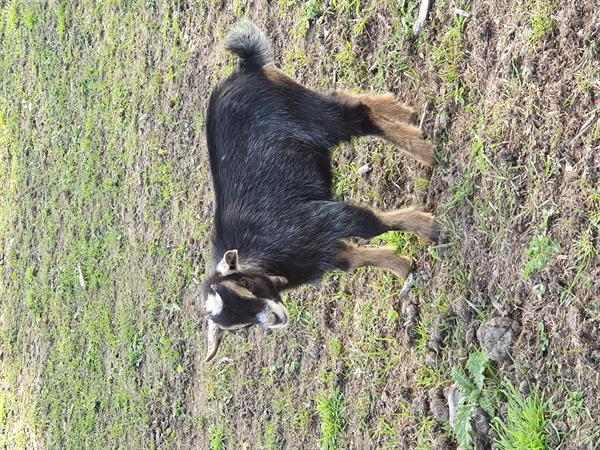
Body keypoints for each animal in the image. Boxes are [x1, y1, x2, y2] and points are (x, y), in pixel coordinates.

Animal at [204, 22, 438, 364]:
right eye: (241, 326)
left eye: (244, 285)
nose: (275, 319)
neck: (261, 256)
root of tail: (245, 67)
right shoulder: (321, 251)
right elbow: (355, 260)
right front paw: (402, 266)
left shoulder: (320, 218)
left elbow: (372, 225)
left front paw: (429, 228)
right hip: (300, 100)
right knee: (342, 98)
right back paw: (402, 112)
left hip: (308, 118)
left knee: (358, 117)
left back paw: (424, 152)